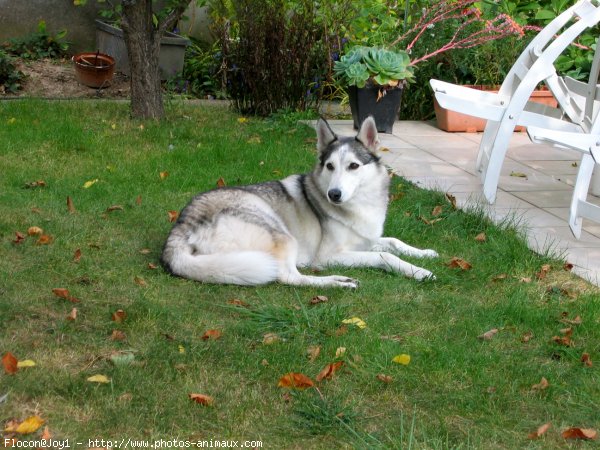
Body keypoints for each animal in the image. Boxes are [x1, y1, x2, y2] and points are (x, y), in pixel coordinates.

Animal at [162, 114, 438, 286]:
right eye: (329, 166)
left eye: (353, 166)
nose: (333, 194)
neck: (360, 204)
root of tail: (182, 225)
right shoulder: (329, 256)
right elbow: (385, 256)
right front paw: (419, 272)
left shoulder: (367, 240)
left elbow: (393, 241)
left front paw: (424, 254)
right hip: (281, 234)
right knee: (289, 277)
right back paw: (337, 281)